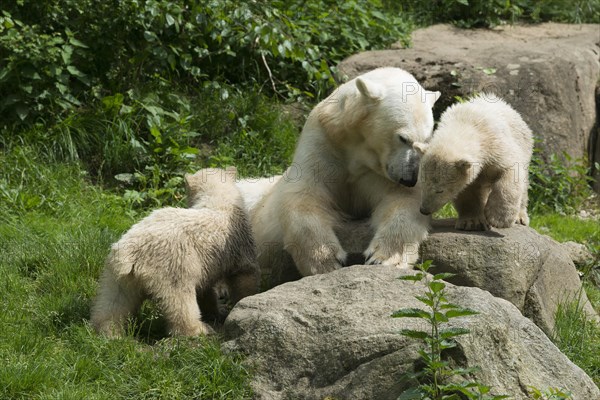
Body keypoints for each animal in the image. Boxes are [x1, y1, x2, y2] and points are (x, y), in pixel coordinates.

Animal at [90, 166, 258, 338]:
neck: (217, 201)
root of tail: (130, 254)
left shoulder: (207, 262)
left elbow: (205, 289)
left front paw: (214, 311)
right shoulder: (239, 242)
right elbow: (244, 274)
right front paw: (242, 301)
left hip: (117, 274)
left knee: (114, 300)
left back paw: (109, 330)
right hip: (173, 265)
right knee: (180, 298)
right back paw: (198, 329)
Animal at [250, 67, 440, 282]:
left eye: (426, 140)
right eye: (403, 138)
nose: (409, 179)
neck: (359, 151)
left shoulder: (377, 174)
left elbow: (403, 200)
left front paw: (383, 257)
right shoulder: (325, 144)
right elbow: (305, 194)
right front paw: (326, 260)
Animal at [414, 93, 532, 230]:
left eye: (440, 190)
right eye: (422, 184)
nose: (424, 210)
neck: (466, 124)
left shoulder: (497, 147)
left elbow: (511, 170)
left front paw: (499, 218)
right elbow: (467, 190)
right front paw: (471, 222)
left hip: (524, 144)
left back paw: (520, 217)